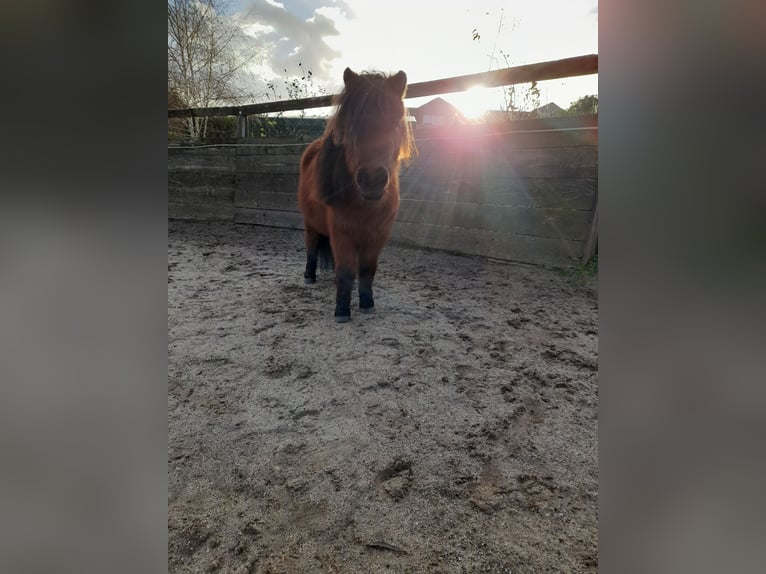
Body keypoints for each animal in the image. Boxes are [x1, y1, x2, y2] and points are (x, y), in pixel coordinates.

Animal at [300, 67, 416, 324]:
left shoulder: (378, 234)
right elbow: (345, 272)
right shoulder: (342, 232)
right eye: (352, 124)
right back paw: (309, 276)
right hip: (310, 224)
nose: (372, 180)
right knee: (312, 246)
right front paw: (342, 311)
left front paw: (366, 303)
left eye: (395, 123)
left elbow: (367, 269)